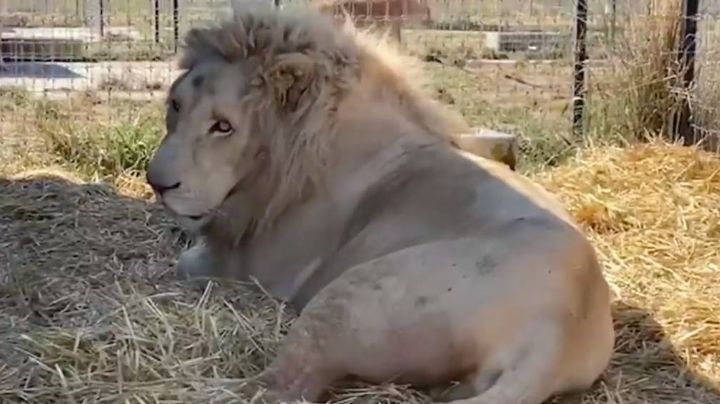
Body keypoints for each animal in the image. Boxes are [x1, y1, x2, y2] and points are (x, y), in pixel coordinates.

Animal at [145, 1, 612, 402]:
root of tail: (553, 336)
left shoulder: (256, 268)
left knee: (287, 384)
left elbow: (186, 261)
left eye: (223, 126)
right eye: (176, 105)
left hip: (346, 296)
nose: (156, 183)